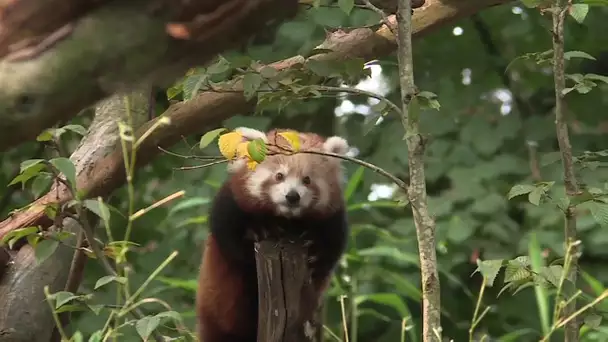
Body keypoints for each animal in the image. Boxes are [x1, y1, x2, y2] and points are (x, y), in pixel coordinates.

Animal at [197, 127, 350, 342]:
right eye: (279, 176)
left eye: (307, 180)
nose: (292, 196)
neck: (286, 220)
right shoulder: (231, 203)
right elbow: (228, 236)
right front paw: (258, 233)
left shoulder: (332, 218)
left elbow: (332, 249)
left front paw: (315, 256)